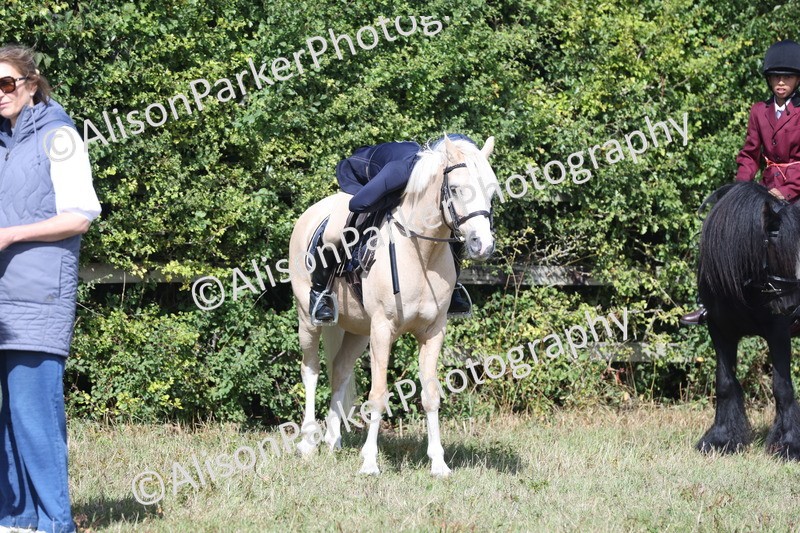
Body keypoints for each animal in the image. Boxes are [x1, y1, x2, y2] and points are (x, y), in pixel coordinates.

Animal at [288, 136, 498, 475]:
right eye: (455, 189)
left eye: (491, 191)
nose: (484, 246)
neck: (421, 252)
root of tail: (311, 213)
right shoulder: (383, 329)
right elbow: (378, 395)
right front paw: (370, 463)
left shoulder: (433, 332)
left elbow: (430, 395)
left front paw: (438, 463)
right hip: (308, 319)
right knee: (311, 370)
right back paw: (308, 442)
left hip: (358, 331)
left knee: (339, 370)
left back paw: (333, 440)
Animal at [697, 181, 800, 459]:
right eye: (773, 246)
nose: (791, 307)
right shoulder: (720, 331)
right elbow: (724, 384)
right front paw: (722, 439)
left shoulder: (778, 333)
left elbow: (783, 388)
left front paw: (788, 444)